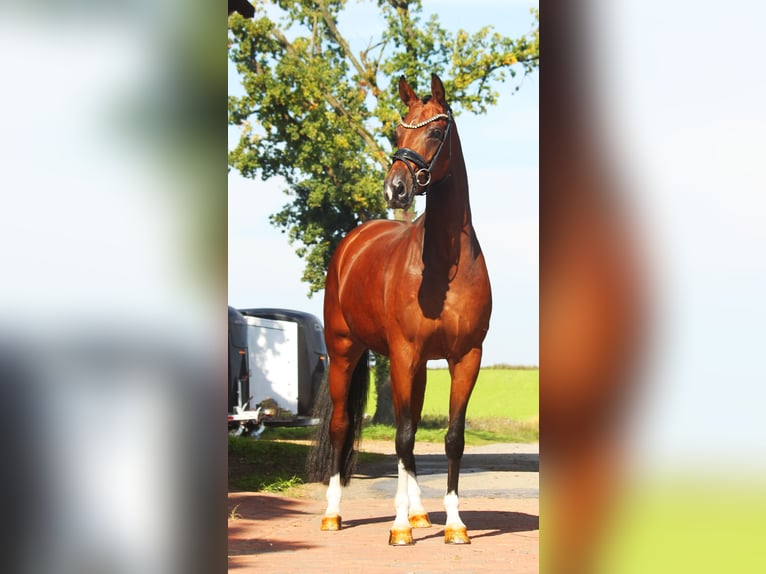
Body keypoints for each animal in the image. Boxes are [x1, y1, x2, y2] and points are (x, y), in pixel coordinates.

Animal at [308, 74, 492, 548]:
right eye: (397, 130)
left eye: (436, 131)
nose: (396, 188)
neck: (445, 267)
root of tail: (350, 244)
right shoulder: (405, 353)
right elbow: (403, 437)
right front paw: (398, 527)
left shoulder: (466, 357)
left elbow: (451, 438)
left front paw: (455, 525)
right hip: (345, 352)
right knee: (342, 425)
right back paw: (334, 515)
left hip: (419, 365)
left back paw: (420, 514)